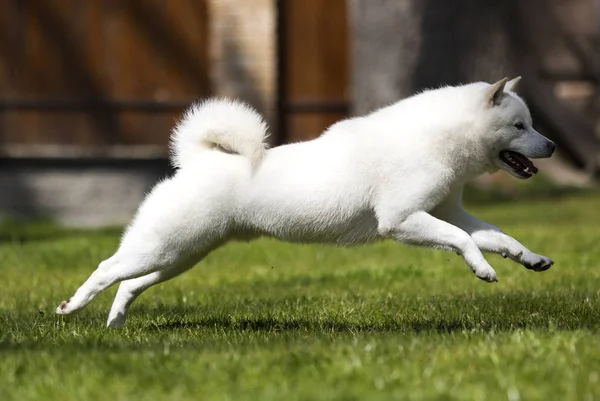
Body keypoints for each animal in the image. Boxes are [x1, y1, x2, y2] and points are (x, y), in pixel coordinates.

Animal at [57, 77, 556, 324]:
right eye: (520, 126)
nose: (551, 145)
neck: (439, 140)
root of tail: (197, 159)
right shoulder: (401, 221)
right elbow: (464, 242)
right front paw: (483, 270)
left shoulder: (450, 213)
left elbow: (497, 237)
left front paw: (529, 258)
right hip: (161, 248)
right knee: (106, 270)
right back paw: (73, 307)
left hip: (181, 256)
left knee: (130, 284)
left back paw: (115, 324)